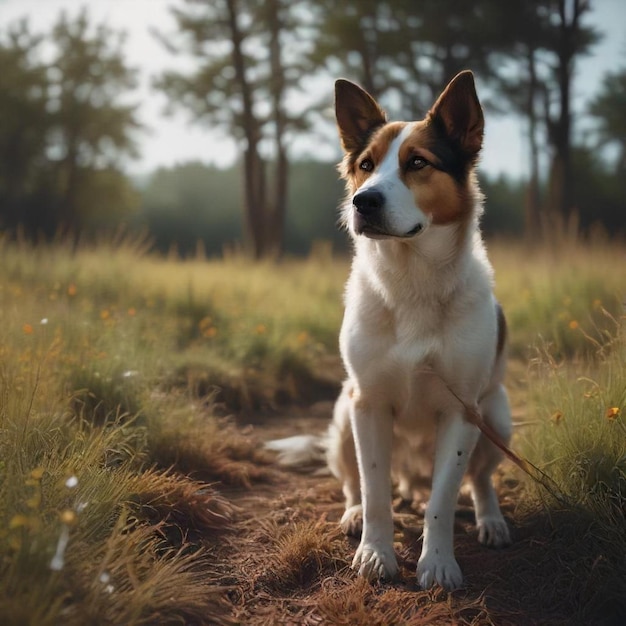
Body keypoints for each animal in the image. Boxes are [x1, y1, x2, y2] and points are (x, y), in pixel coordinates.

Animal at [266, 70, 508, 588]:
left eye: (418, 163)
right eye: (366, 165)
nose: (364, 201)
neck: (412, 280)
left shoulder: (462, 410)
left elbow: (442, 499)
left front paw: (438, 563)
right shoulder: (369, 402)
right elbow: (375, 487)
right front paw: (375, 553)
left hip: (496, 415)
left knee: (478, 480)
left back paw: (491, 519)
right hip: (343, 413)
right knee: (353, 482)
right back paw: (354, 515)